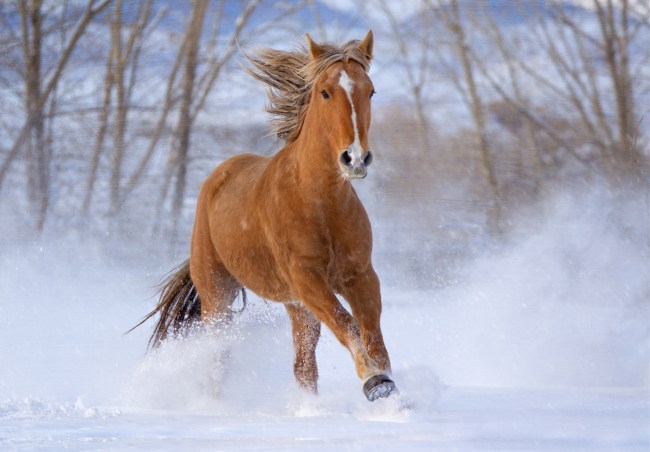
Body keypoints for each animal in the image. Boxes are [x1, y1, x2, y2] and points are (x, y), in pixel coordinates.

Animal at [133, 31, 397, 402]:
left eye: (370, 91)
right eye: (325, 92)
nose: (355, 158)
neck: (320, 203)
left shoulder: (359, 276)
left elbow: (372, 334)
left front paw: (387, 387)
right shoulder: (306, 278)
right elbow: (347, 324)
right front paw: (374, 380)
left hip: (295, 306)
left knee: (303, 366)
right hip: (217, 295)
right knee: (217, 356)